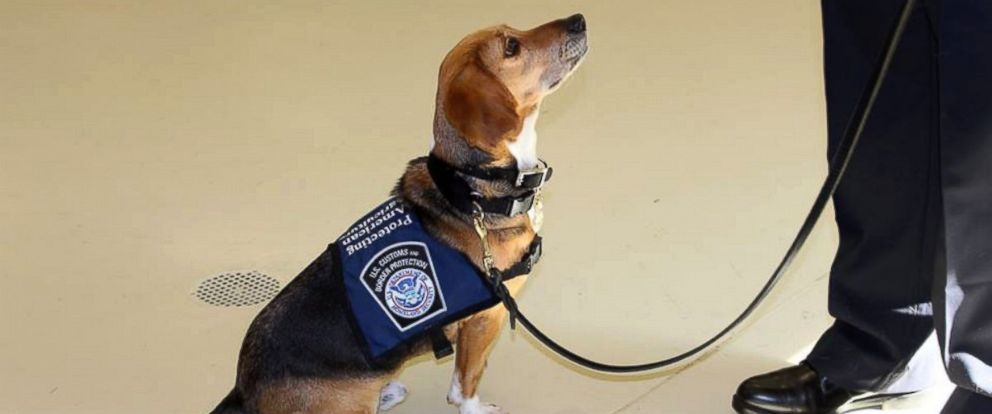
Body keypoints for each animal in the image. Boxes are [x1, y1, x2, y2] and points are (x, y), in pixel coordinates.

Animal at [215, 12, 588, 414]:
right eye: (511, 47)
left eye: (514, 31)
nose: (578, 19)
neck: (473, 190)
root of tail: (244, 392)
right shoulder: (485, 320)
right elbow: (467, 380)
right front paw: (474, 408)